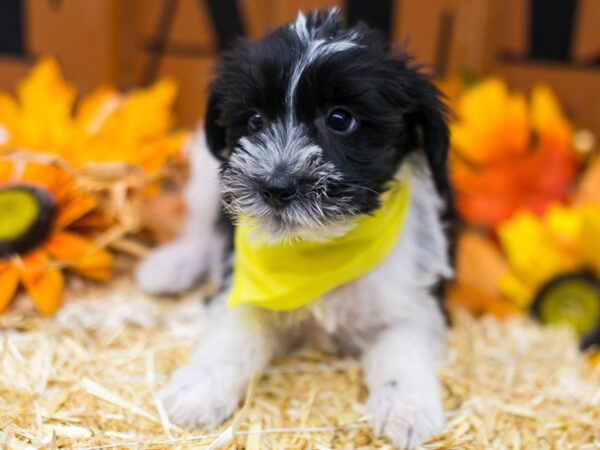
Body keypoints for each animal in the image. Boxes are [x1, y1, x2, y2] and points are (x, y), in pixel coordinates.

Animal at [136, 8, 452, 448]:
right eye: (254, 120)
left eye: (340, 119)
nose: (276, 185)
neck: (318, 248)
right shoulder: (241, 284)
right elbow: (234, 330)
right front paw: (199, 387)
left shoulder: (412, 298)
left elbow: (404, 344)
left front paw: (406, 407)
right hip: (203, 169)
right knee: (200, 229)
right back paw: (171, 266)